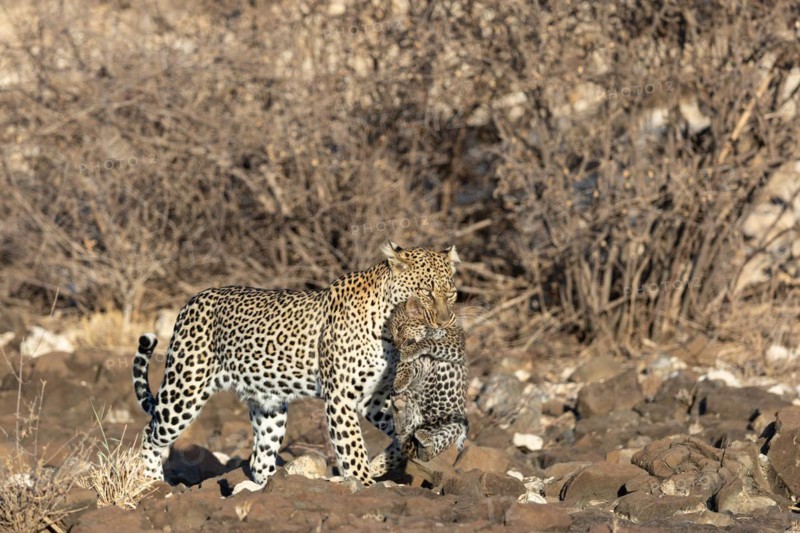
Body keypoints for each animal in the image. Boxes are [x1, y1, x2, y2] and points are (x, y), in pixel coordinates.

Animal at [132, 241, 460, 487]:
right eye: (426, 292)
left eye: (452, 294)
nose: (445, 323)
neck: (388, 332)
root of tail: (193, 299)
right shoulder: (341, 397)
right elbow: (352, 447)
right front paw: (367, 485)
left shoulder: (374, 398)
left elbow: (400, 433)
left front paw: (384, 463)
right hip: (184, 389)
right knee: (151, 434)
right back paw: (154, 484)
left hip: (269, 406)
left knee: (260, 458)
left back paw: (271, 488)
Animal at [389, 297, 468, 462]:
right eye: (391, 336)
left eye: (400, 328)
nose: (397, 347)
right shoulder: (422, 364)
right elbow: (405, 364)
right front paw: (400, 381)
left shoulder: (454, 345)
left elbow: (431, 342)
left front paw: (409, 351)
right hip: (412, 405)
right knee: (403, 430)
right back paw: (399, 408)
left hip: (454, 423)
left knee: (430, 449)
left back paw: (426, 444)